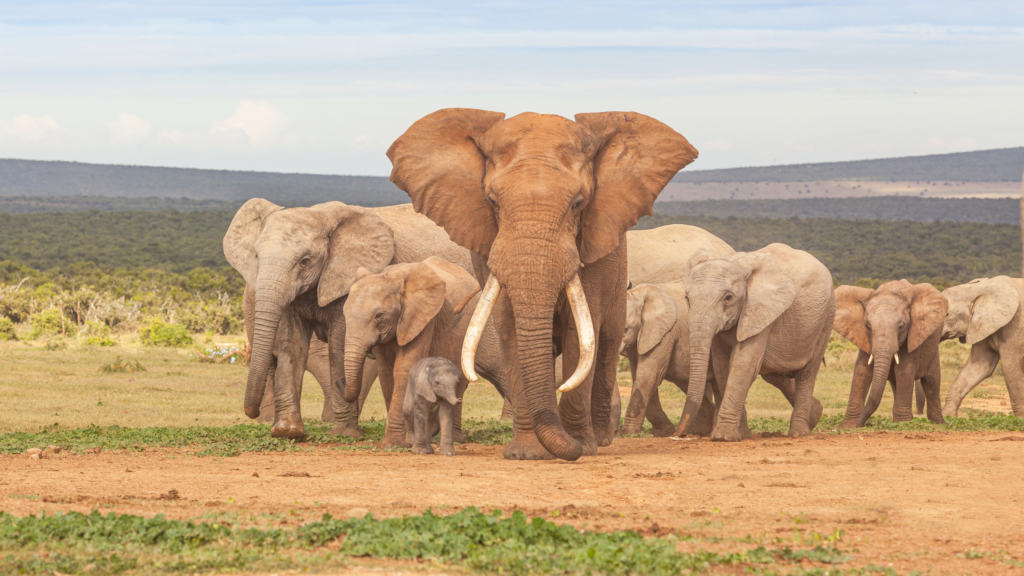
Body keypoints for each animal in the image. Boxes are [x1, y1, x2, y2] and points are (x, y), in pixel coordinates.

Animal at [342, 253, 505, 446]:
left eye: (379, 316)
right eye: (344, 313)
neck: (391, 278)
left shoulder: (423, 317)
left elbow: (403, 368)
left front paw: (394, 443)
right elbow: (386, 372)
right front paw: (403, 441)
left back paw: (452, 440)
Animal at [387, 107, 700, 457]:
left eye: (578, 203)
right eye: (492, 202)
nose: (575, 446)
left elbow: (581, 336)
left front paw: (581, 446)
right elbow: (510, 327)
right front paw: (526, 453)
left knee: (606, 343)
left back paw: (601, 438)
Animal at [675, 241, 835, 438]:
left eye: (728, 298)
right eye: (687, 298)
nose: (678, 434)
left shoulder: (761, 311)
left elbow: (744, 364)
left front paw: (723, 437)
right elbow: (723, 367)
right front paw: (742, 435)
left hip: (826, 317)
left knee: (807, 372)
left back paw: (799, 433)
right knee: (776, 373)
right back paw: (815, 413)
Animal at [835, 278, 946, 426]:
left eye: (901, 326)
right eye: (867, 326)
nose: (861, 424)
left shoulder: (912, 336)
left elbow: (904, 371)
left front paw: (903, 424)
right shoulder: (865, 339)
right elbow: (861, 371)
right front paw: (848, 426)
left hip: (933, 347)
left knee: (932, 382)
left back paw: (938, 423)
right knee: (896, 384)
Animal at [937, 274, 1024, 416]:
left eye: (946, 314)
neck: (981, 288)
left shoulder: (1015, 327)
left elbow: (1010, 368)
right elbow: (978, 367)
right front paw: (947, 417)